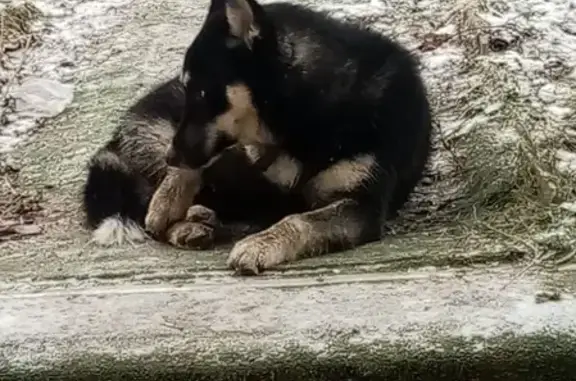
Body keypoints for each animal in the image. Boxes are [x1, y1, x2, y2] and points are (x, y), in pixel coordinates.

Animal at [82, 0, 432, 274]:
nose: (171, 157)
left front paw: (262, 244)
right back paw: (185, 218)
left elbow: (299, 220)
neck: (307, 116)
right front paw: (170, 198)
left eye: (201, 92)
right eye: (188, 90)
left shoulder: (362, 206)